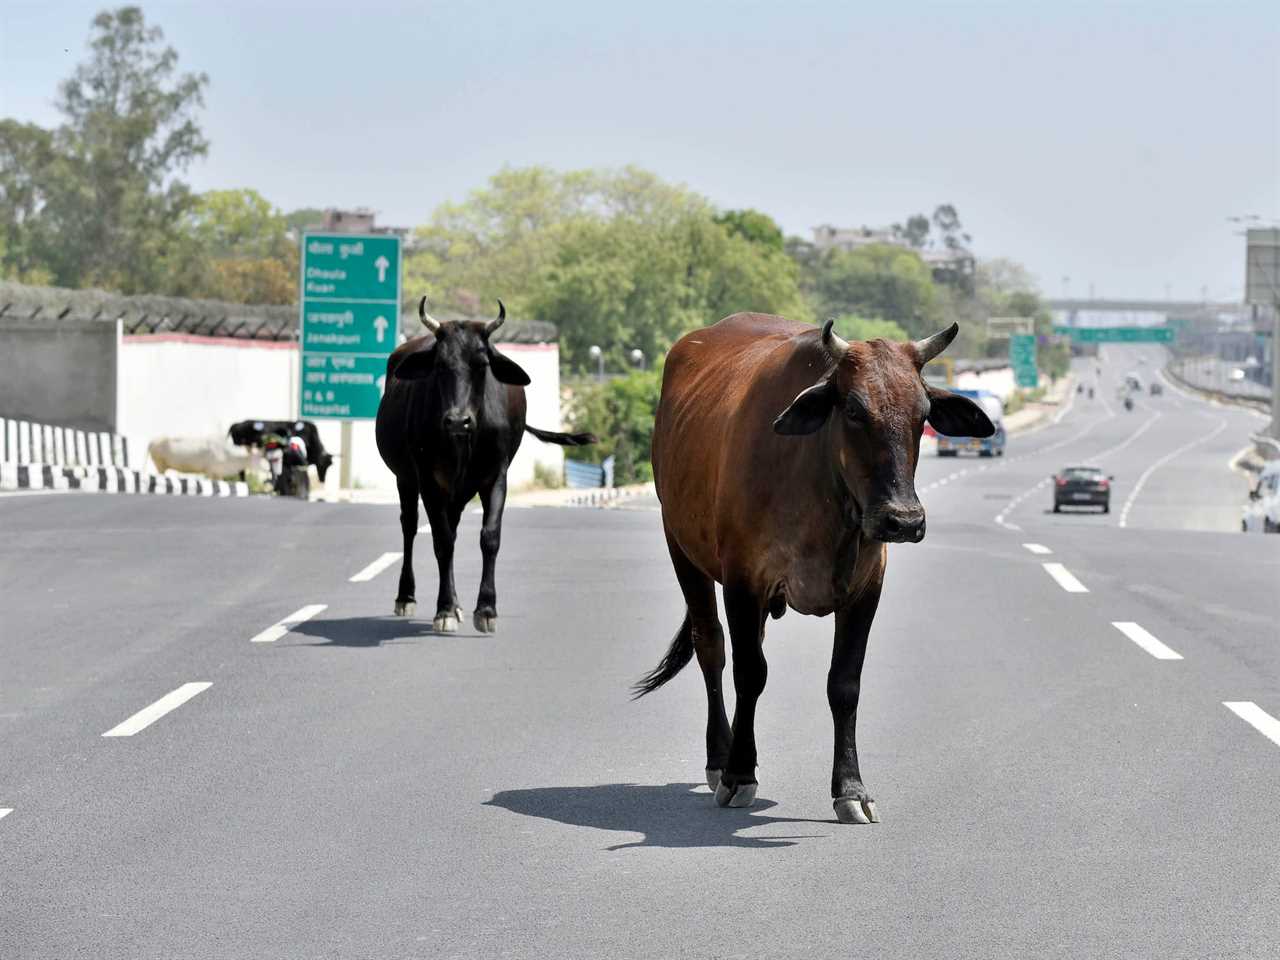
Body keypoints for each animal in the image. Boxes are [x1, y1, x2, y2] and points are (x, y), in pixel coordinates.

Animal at [371, 296, 588, 634]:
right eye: (440, 365)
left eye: (482, 364)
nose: (457, 420)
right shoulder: (428, 480)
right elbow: (441, 541)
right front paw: (445, 610)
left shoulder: (496, 477)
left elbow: (489, 537)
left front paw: (485, 609)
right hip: (405, 479)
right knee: (411, 526)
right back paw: (407, 596)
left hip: (458, 492)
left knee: (452, 528)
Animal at [637, 312, 988, 824]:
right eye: (854, 411)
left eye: (923, 413)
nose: (903, 520)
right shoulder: (743, 581)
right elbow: (750, 674)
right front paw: (739, 774)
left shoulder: (866, 589)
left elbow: (844, 684)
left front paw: (851, 789)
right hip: (682, 549)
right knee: (713, 651)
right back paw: (721, 759)